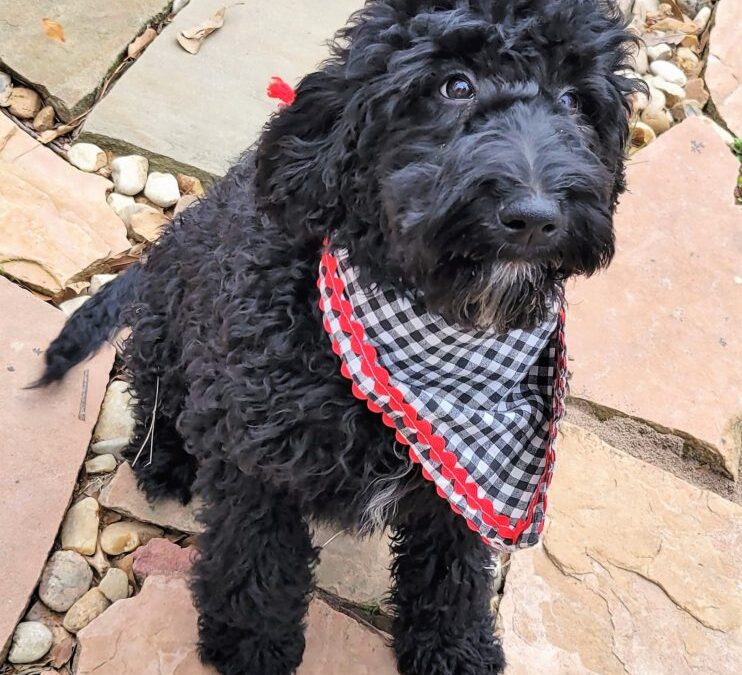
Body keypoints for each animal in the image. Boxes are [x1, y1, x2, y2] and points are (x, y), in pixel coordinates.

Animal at [39, 1, 640, 675]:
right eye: (454, 86)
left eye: (575, 100)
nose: (536, 218)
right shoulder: (256, 462)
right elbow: (255, 565)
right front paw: (251, 646)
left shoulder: (459, 488)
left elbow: (452, 573)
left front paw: (454, 649)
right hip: (168, 333)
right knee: (157, 398)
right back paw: (163, 460)